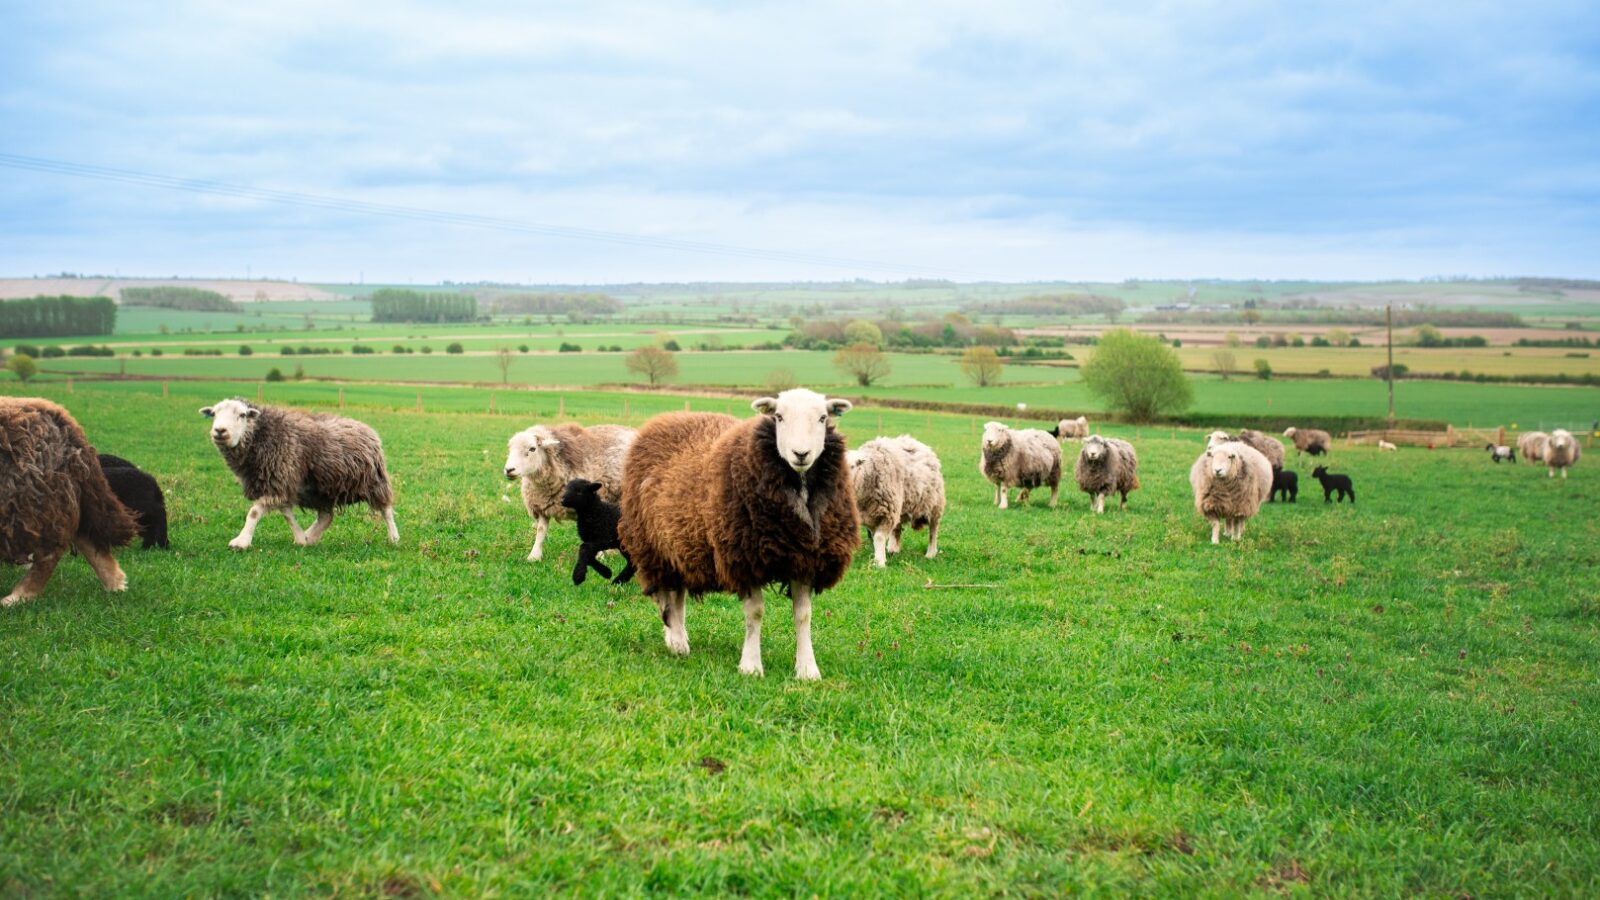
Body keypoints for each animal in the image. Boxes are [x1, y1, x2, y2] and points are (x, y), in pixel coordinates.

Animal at [200, 397, 400, 547]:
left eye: (242, 415)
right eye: (214, 414)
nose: (220, 431)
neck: (262, 436)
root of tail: (368, 429)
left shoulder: (280, 478)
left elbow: (254, 512)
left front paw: (241, 542)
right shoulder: (281, 483)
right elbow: (287, 513)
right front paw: (300, 538)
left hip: (374, 482)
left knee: (386, 510)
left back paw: (394, 538)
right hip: (321, 490)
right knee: (326, 517)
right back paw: (311, 537)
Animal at [508, 422, 640, 560]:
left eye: (532, 449)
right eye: (510, 448)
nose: (508, 470)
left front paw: (599, 555)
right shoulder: (542, 504)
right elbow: (541, 531)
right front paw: (534, 556)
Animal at [614, 387, 864, 679]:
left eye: (823, 418)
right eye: (778, 417)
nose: (800, 453)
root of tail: (667, 418)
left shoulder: (804, 559)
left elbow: (803, 615)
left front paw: (807, 669)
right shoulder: (746, 559)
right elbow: (755, 614)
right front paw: (751, 665)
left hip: (681, 547)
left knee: (678, 597)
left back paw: (681, 639)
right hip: (651, 548)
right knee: (665, 596)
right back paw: (675, 641)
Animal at [844, 432, 940, 563]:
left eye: (853, 466)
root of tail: (916, 442)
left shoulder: (887, 513)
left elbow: (879, 537)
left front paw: (879, 562)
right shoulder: (869, 516)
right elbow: (875, 537)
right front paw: (879, 556)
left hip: (934, 504)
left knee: (933, 530)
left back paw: (930, 553)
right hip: (900, 505)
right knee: (897, 528)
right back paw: (893, 549)